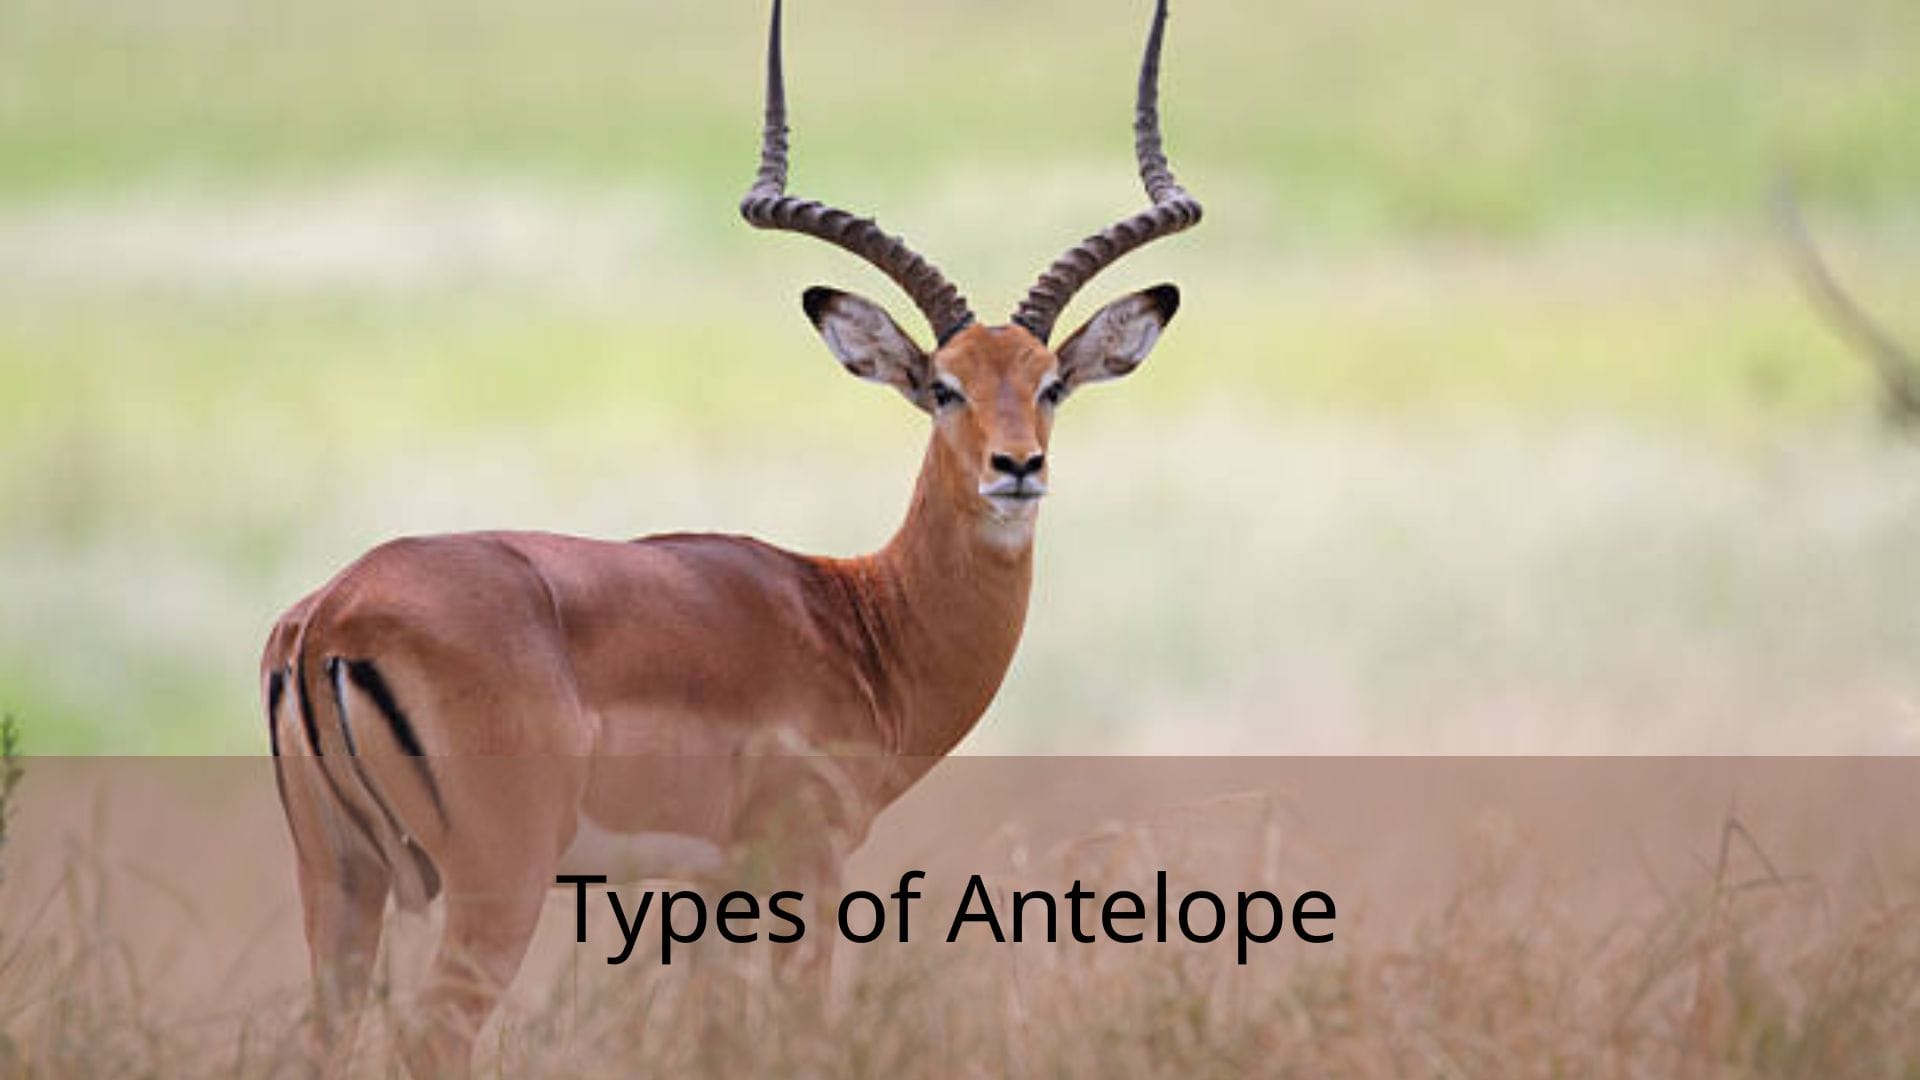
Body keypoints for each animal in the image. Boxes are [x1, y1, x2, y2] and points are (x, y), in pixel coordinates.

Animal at [261, 0, 1202, 1074]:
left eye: (1049, 384)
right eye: (942, 387)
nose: (1017, 467)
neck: (863, 623)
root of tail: (329, 619)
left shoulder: (707, 890)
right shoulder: (805, 865)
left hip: (340, 880)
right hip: (494, 883)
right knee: (432, 1035)